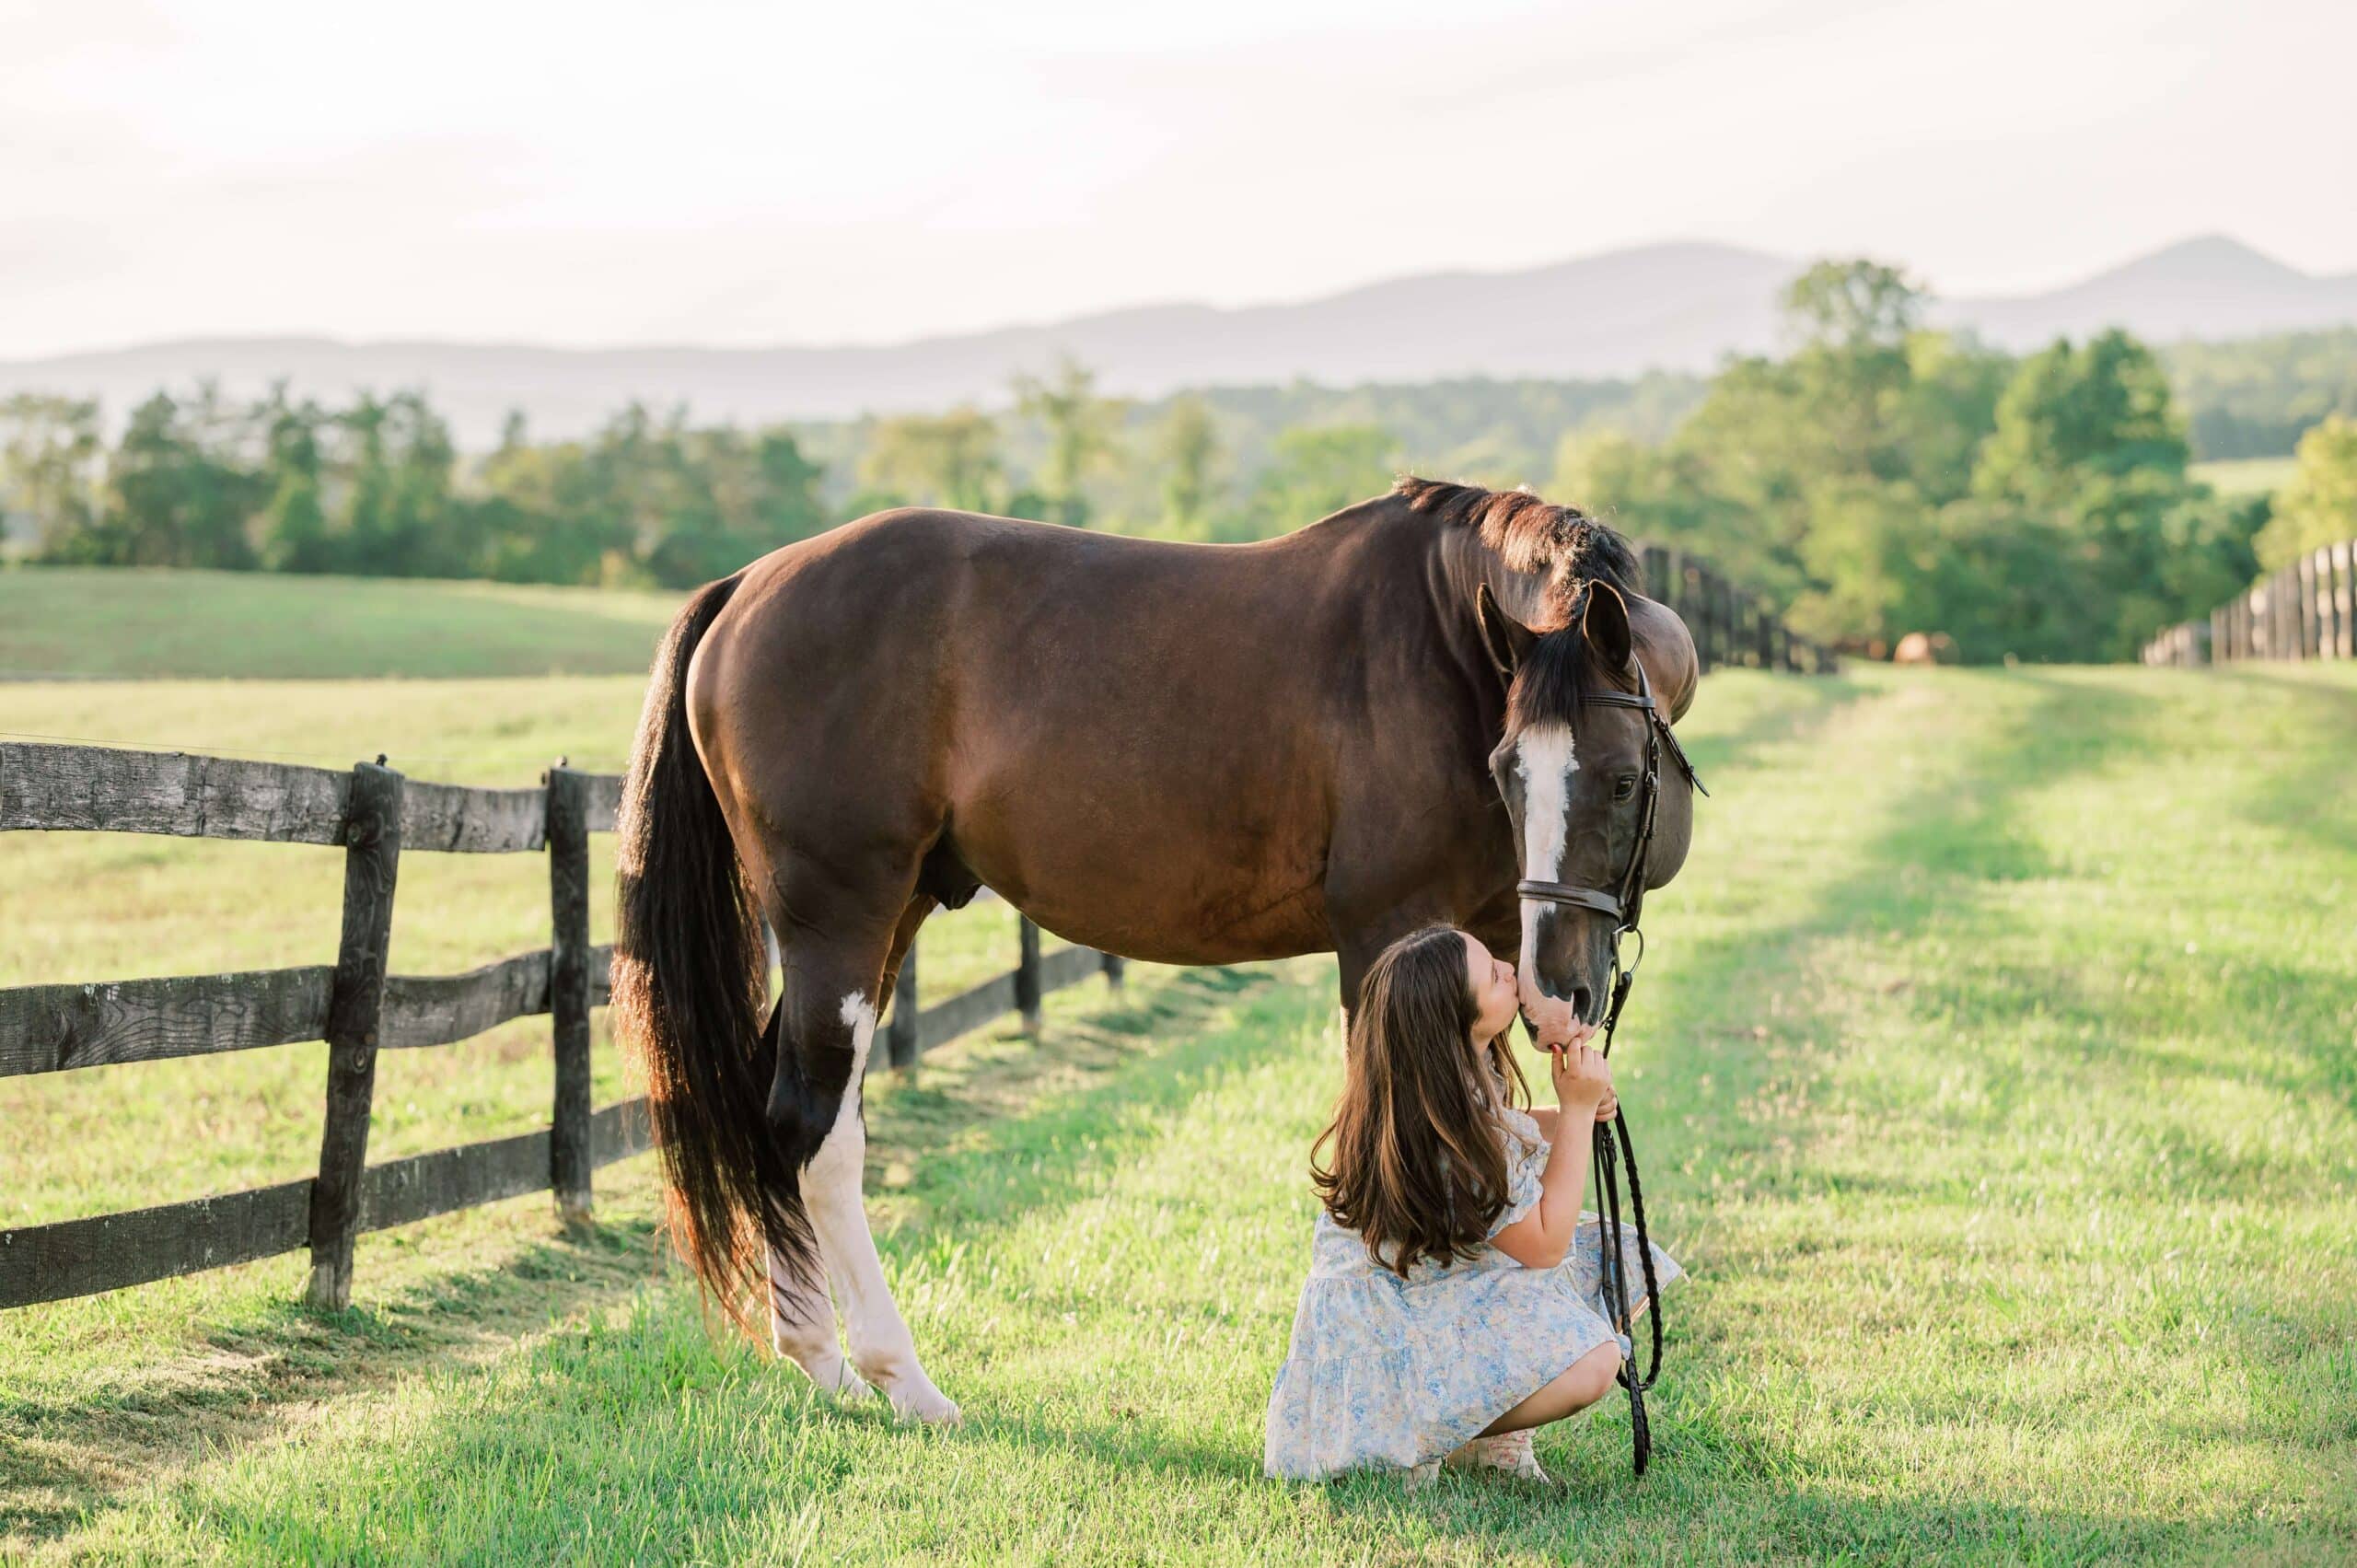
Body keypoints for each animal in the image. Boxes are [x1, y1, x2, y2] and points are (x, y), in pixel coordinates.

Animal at [608, 476, 1697, 1414]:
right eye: (1515, 769)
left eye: (1618, 778)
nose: (1561, 990)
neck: (1438, 648)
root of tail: (745, 587)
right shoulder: (1384, 939)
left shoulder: (1482, 946)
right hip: (841, 915)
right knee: (815, 1128)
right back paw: (900, 1377)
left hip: (885, 917)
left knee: (776, 1110)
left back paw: (819, 1358)